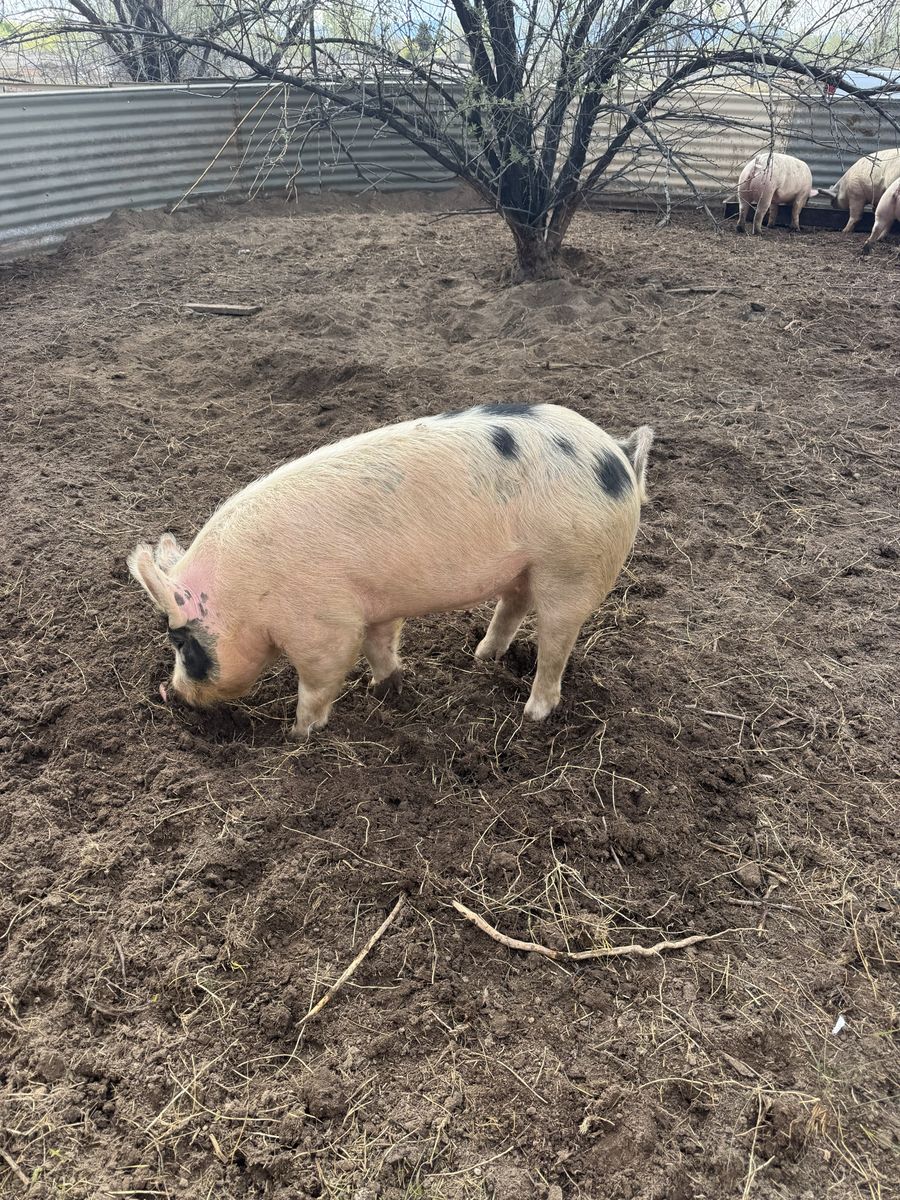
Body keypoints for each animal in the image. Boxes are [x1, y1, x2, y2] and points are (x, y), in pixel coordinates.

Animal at [127, 404, 654, 739]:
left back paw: (532, 714)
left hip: (571, 566)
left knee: (555, 645)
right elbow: (380, 644)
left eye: (180, 641)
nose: (172, 693)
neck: (245, 596)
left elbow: (322, 677)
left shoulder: (323, 625)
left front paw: (297, 734)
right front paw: (386, 687)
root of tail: (619, 455)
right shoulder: (374, 604)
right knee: (514, 604)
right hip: (528, 565)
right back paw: (482, 657)